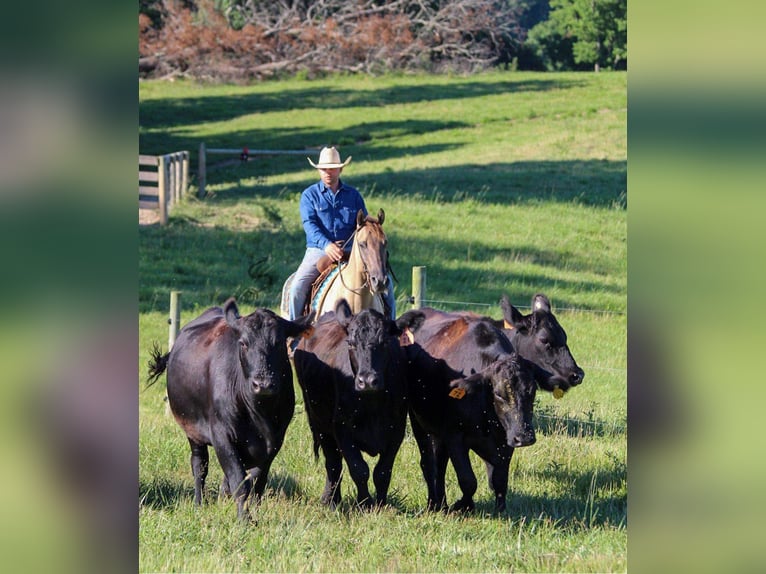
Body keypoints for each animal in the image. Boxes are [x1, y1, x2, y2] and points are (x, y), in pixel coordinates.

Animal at [147, 302, 316, 520]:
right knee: (199, 465)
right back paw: (199, 503)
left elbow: (256, 480)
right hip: (192, 431)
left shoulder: (275, 441)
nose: (263, 384)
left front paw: (253, 509)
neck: (259, 412)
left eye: (279, 343)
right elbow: (238, 480)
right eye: (243, 343)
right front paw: (244, 519)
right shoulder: (222, 436)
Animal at [294, 300, 426, 510]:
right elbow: (359, 469)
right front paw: (364, 503)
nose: (367, 380)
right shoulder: (342, 428)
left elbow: (383, 471)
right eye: (350, 343)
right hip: (319, 422)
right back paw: (331, 500)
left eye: (385, 342)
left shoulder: (396, 429)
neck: (372, 406)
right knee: (333, 464)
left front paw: (381, 504)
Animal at [404, 294, 584, 516]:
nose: (577, 374)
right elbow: (468, 480)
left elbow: (499, 481)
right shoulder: (454, 436)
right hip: (418, 421)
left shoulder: (505, 440)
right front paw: (463, 506)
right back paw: (434, 504)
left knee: (439, 463)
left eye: (532, 391)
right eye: (544, 340)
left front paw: (499, 511)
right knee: (429, 463)